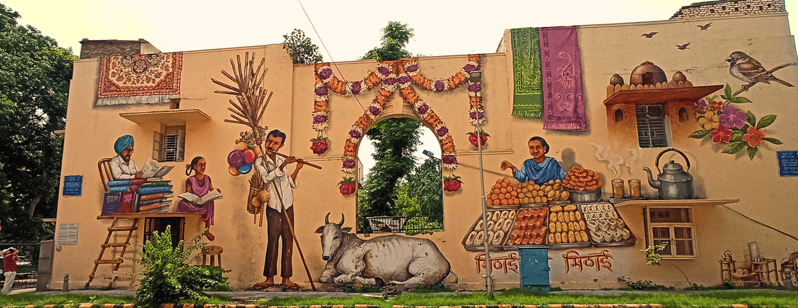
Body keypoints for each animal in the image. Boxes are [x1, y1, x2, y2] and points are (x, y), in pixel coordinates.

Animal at [318, 213, 456, 286]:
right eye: (322, 236)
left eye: (336, 236)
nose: (325, 257)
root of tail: (445, 260)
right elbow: (323, 278)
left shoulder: (355, 268)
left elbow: (341, 278)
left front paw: (372, 280)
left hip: (419, 268)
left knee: (416, 281)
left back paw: (390, 282)